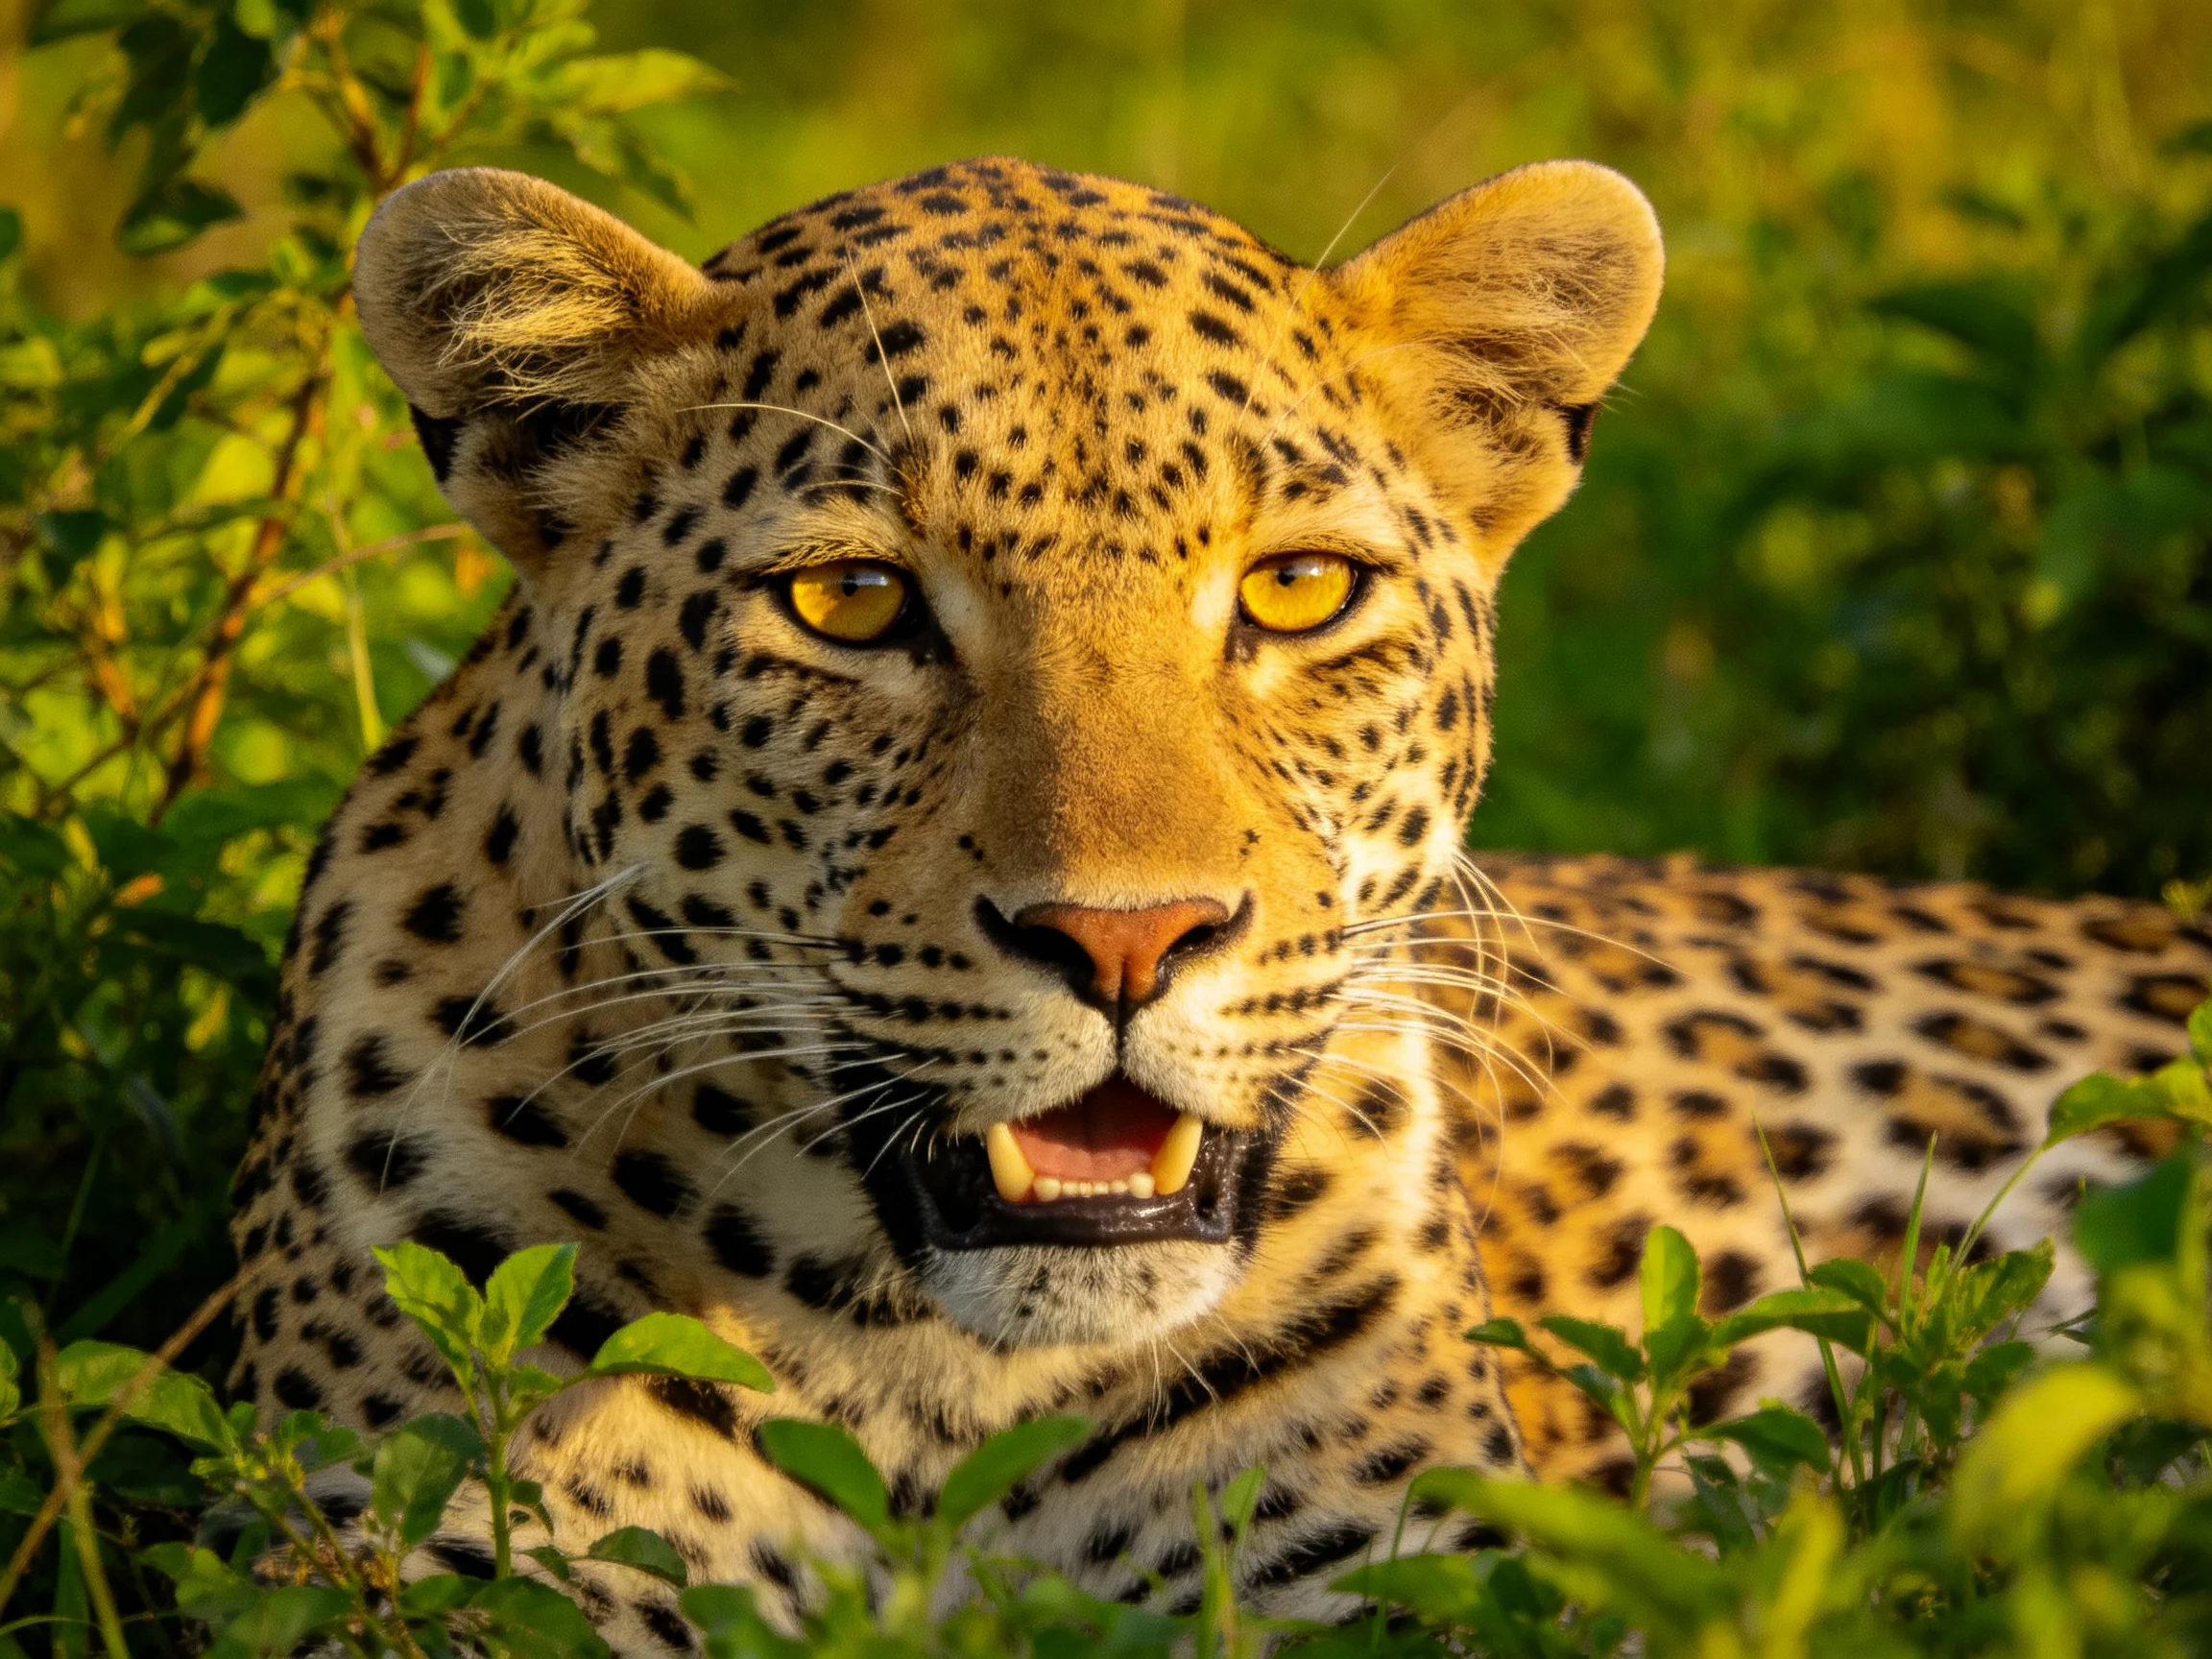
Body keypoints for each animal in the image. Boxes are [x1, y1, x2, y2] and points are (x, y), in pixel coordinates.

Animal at [228, 154, 2212, 1649]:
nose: (1124, 938)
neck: (934, 1400)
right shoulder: (421, 1569)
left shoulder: (1398, 1588)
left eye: (1296, 589)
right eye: (851, 604)